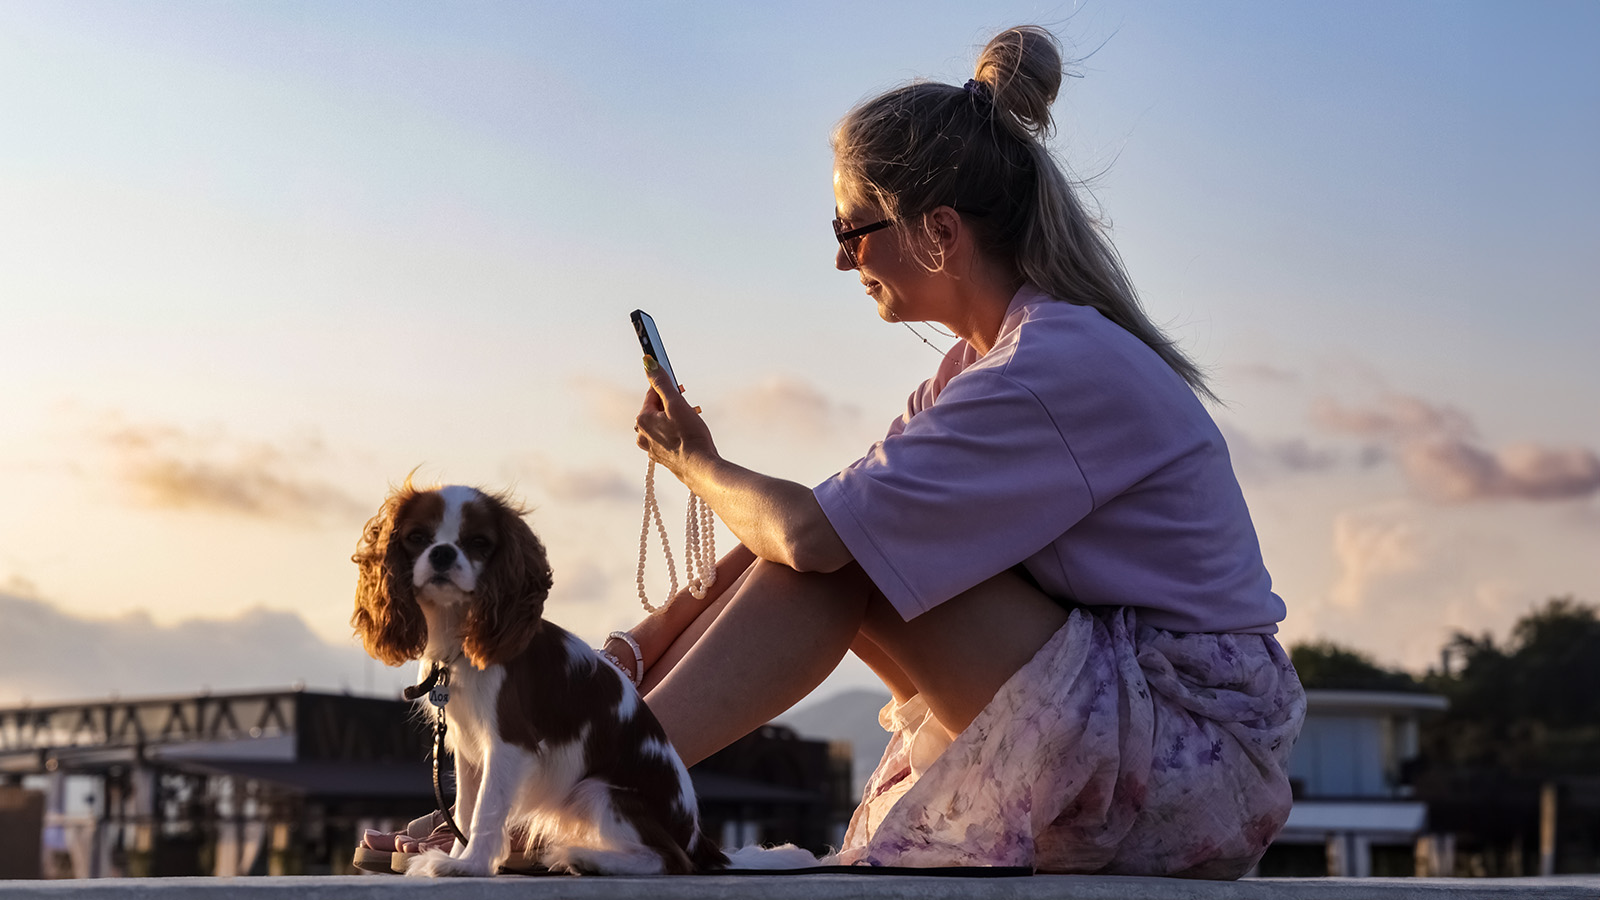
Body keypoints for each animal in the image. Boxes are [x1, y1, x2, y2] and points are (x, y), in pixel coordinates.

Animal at [355, 480, 726, 871]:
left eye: (479, 543)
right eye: (417, 537)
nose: (442, 553)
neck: (459, 636)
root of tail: (697, 837)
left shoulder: (508, 741)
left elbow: (486, 808)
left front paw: (470, 864)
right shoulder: (468, 746)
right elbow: (466, 809)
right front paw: (459, 854)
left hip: (596, 792)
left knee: (668, 860)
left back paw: (583, 858)